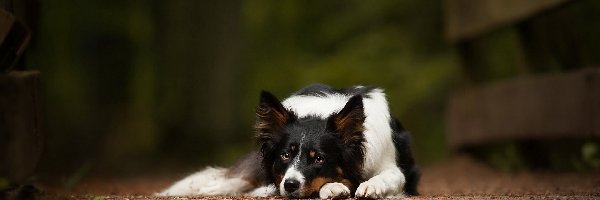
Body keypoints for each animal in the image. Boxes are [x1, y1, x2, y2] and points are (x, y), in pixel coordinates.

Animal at [159, 83, 422, 198]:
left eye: (319, 158)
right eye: (286, 154)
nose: (290, 185)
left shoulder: (391, 165)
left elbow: (389, 176)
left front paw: (371, 186)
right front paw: (334, 187)